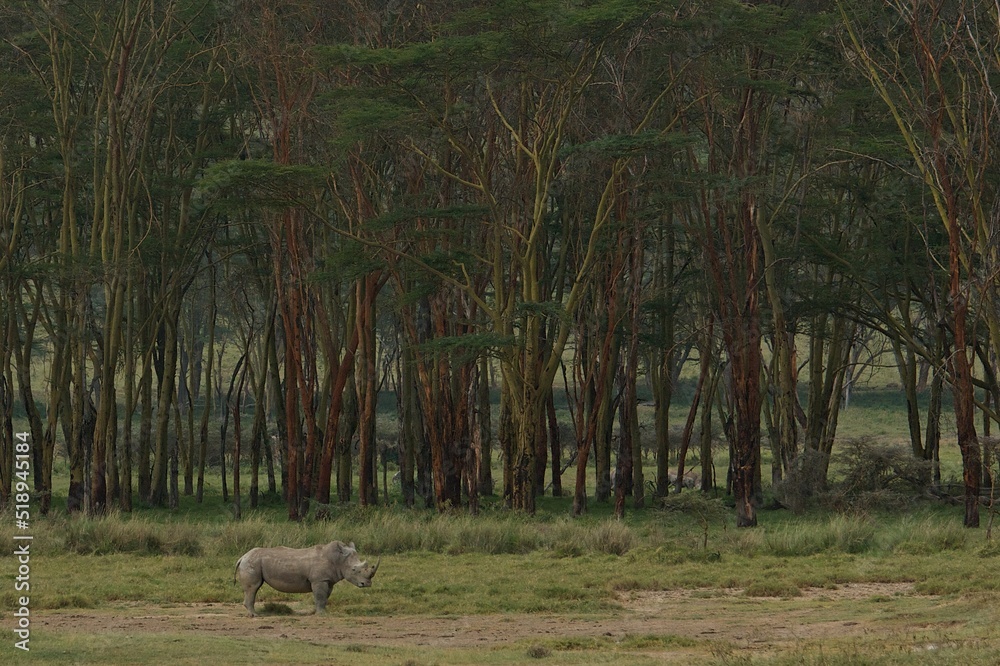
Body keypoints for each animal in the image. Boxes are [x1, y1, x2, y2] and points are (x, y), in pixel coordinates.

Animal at [234, 536, 378, 616]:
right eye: (354, 569)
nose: (367, 584)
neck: (338, 559)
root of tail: (242, 557)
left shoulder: (328, 580)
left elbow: (324, 597)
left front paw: (318, 612)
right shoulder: (319, 580)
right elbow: (320, 596)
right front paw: (321, 615)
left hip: (252, 561)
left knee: (254, 588)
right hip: (252, 562)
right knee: (253, 587)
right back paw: (255, 615)